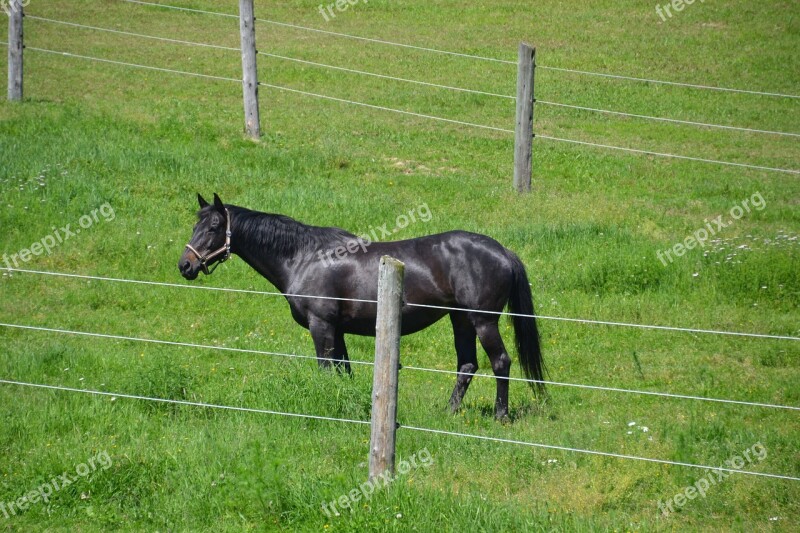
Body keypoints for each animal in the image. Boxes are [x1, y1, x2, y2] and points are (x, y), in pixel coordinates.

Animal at [179, 193, 544, 418]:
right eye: (195, 225)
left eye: (214, 227)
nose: (185, 265)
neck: (304, 258)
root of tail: (502, 251)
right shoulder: (338, 331)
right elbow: (344, 371)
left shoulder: (322, 326)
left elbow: (326, 370)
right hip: (461, 320)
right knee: (467, 365)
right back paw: (449, 411)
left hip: (483, 321)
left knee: (500, 362)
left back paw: (500, 415)